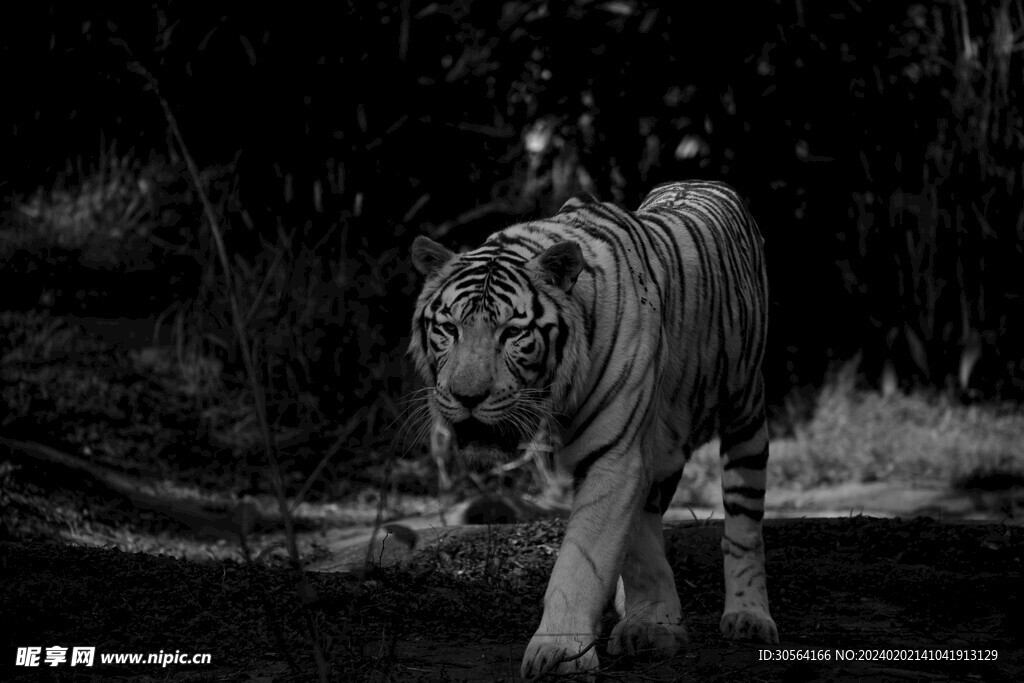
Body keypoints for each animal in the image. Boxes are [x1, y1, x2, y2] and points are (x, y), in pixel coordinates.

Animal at [408, 180, 779, 679]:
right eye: (449, 329)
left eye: (512, 333)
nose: (467, 397)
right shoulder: (636, 452)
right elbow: (633, 546)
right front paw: (651, 622)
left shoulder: (615, 453)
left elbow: (581, 561)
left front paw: (560, 652)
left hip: (745, 411)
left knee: (743, 527)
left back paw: (748, 615)